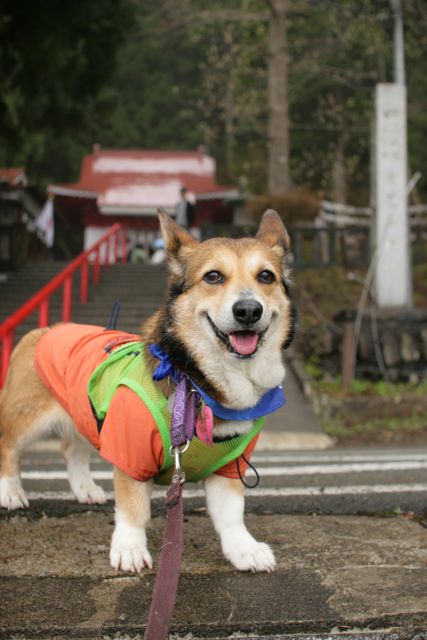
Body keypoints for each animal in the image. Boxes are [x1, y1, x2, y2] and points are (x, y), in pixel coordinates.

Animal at [0, 210, 296, 576]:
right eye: (213, 276)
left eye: (266, 276)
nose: (248, 311)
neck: (198, 384)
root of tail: (45, 330)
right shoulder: (131, 456)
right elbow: (133, 511)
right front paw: (129, 549)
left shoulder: (228, 468)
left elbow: (232, 516)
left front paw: (245, 550)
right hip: (27, 418)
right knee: (9, 447)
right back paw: (11, 493)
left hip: (87, 417)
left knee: (71, 451)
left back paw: (86, 490)